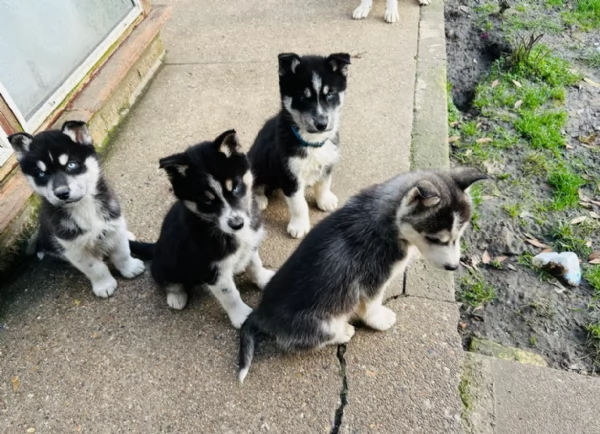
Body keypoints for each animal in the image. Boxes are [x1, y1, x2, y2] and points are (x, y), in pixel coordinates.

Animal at [7, 122, 145, 298]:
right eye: (41, 174)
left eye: (71, 164)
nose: (61, 193)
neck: (82, 206)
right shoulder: (73, 247)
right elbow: (95, 268)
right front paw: (104, 285)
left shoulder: (113, 222)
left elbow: (122, 253)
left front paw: (130, 268)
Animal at [130, 131, 276, 328]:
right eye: (207, 200)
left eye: (236, 187)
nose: (237, 224)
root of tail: (156, 246)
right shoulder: (210, 267)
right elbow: (230, 294)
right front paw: (242, 316)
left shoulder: (250, 244)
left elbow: (255, 265)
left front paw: (263, 279)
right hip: (164, 264)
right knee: (166, 280)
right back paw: (176, 296)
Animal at [237, 166, 486, 380]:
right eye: (435, 239)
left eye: (459, 236)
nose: (453, 267)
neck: (390, 222)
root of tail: (262, 313)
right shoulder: (373, 278)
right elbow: (372, 305)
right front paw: (379, 320)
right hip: (320, 324)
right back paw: (344, 331)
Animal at [248, 53, 352, 241]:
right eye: (303, 98)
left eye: (330, 94)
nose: (322, 124)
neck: (312, 141)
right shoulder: (289, 176)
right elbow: (299, 204)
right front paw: (299, 226)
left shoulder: (327, 162)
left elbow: (324, 183)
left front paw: (324, 200)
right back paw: (259, 200)